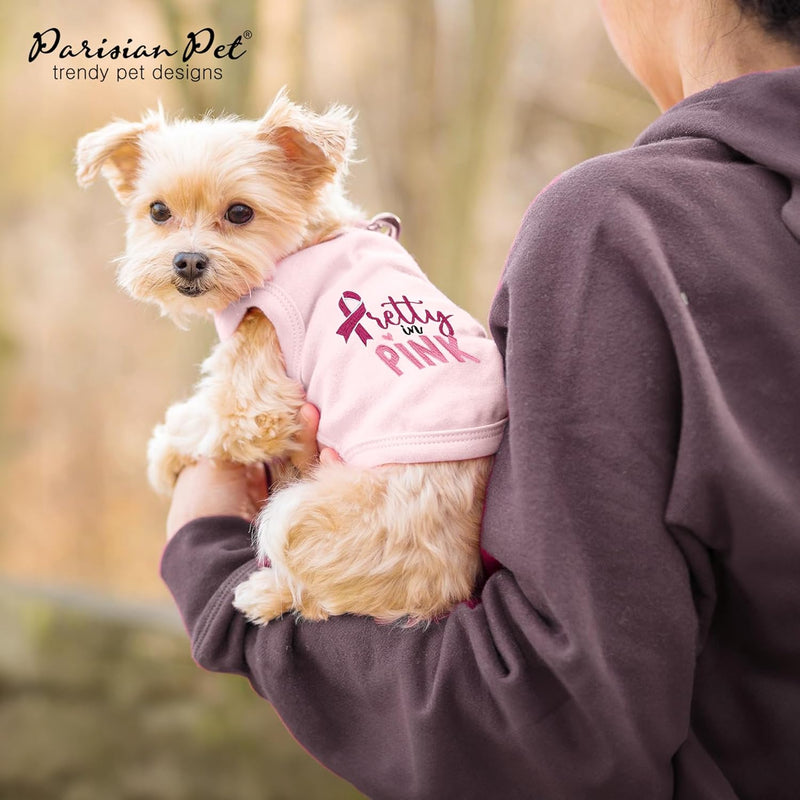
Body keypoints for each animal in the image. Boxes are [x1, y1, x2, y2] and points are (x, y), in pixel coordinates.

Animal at [78, 92, 510, 624]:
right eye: (158, 211)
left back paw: (264, 594)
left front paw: (166, 452)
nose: (188, 260)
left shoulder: (255, 400)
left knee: (322, 596)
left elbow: (209, 421)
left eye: (240, 212)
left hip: (297, 513)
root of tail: (448, 589)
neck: (307, 240)